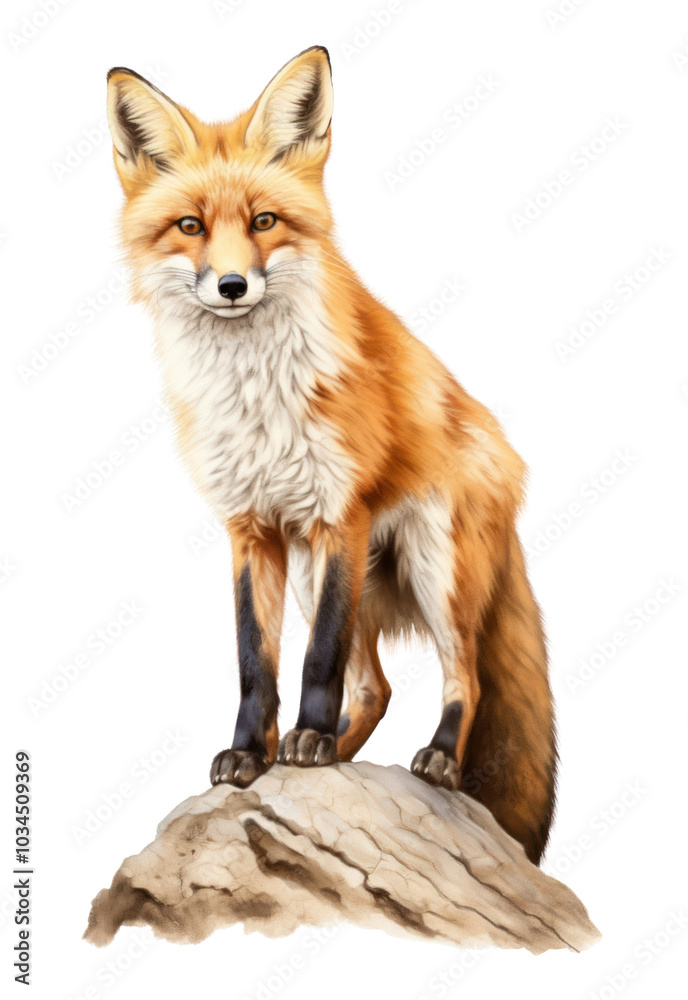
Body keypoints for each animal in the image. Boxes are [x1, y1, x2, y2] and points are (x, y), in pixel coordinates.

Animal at [106, 45, 557, 864]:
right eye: (190, 225)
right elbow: (256, 662)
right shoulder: (251, 529)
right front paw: (251, 755)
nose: (231, 285)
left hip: (432, 568)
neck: (254, 393)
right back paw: (330, 756)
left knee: (465, 675)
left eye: (264, 221)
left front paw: (306, 738)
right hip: (326, 574)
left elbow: (315, 660)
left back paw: (429, 759)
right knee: (376, 687)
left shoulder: (336, 513)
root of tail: (510, 462)